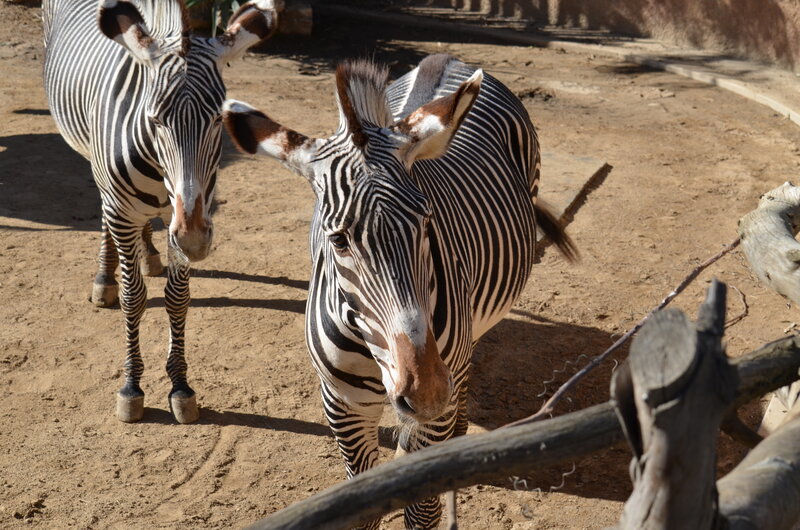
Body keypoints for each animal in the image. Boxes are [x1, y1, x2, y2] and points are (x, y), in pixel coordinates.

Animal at [43, 0, 281, 424]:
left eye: (217, 119)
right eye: (154, 119)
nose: (193, 240)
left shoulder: (190, 211)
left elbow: (177, 297)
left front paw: (180, 385)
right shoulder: (124, 207)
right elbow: (133, 296)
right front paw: (131, 386)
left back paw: (150, 256)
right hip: (96, 167)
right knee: (105, 214)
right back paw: (105, 277)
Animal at [222, 54, 576, 528]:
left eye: (427, 223)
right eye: (338, 241)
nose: (427, 393)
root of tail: (444, 59)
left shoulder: (430, 410)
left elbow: (422, 513)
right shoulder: (343, 404)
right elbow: (361, 511)